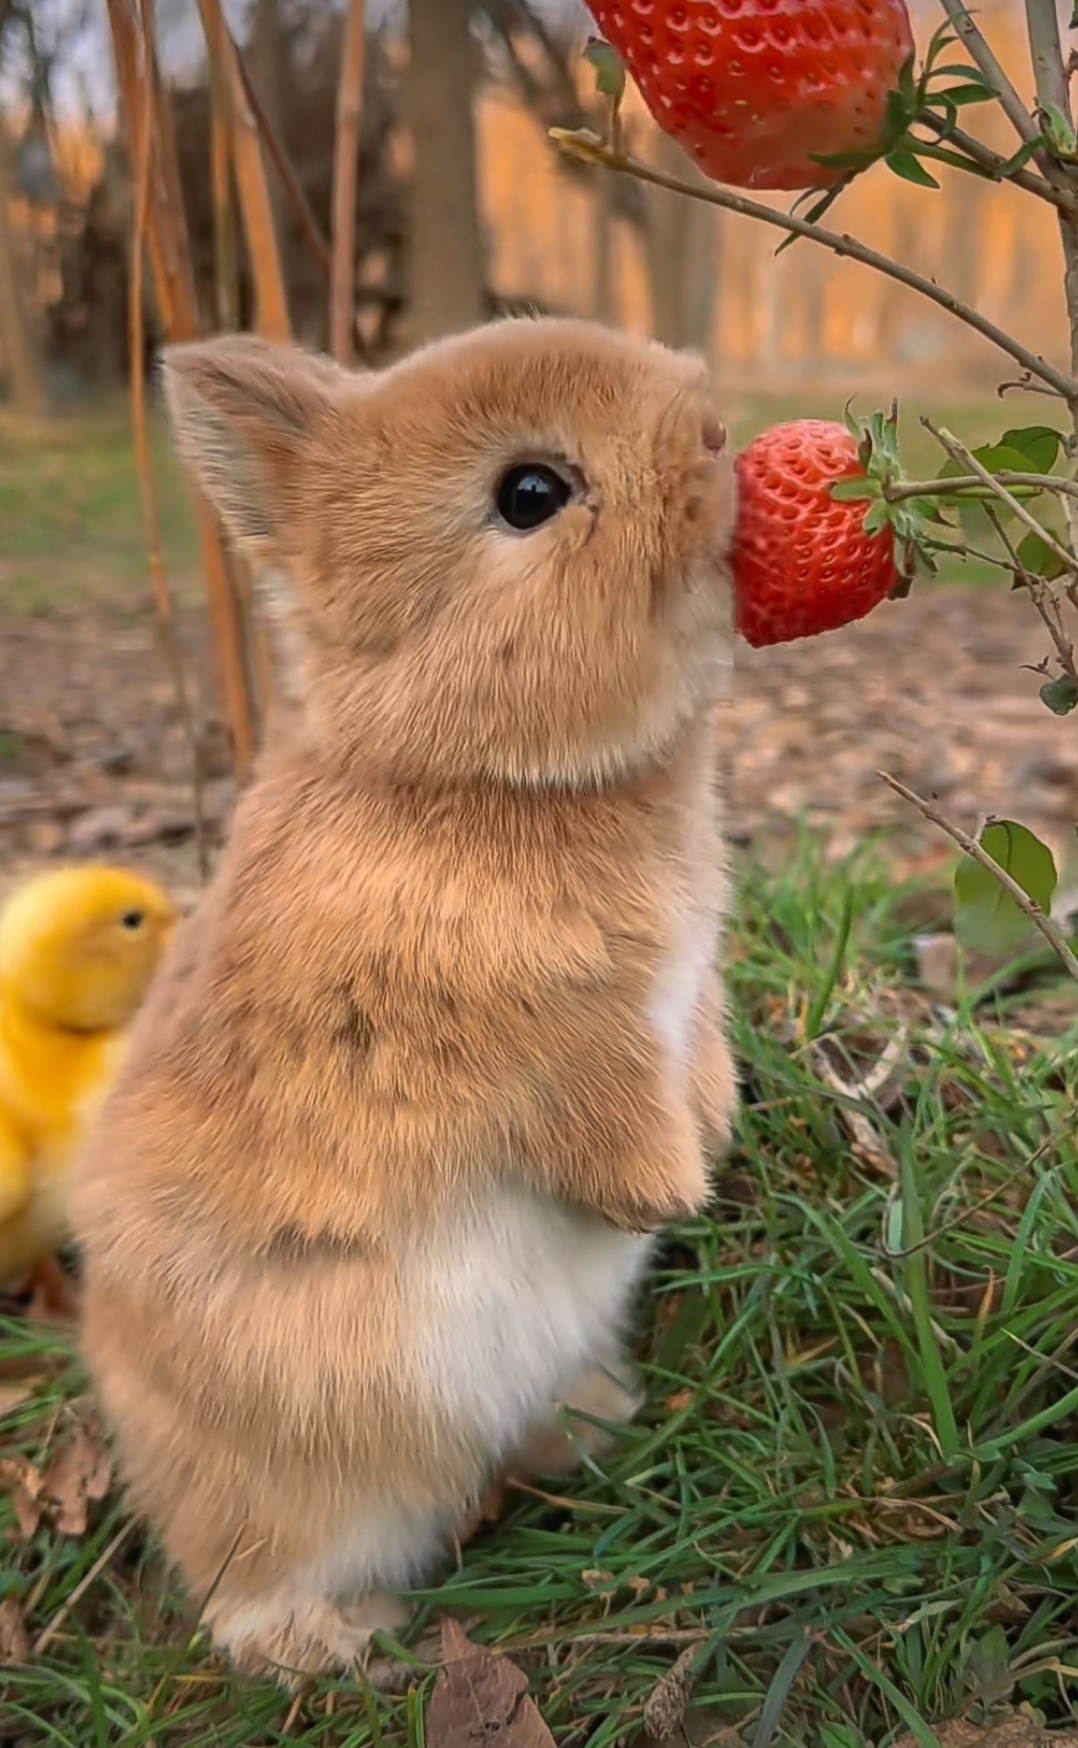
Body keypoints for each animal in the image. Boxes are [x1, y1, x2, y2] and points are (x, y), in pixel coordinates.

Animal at [69, 321, 740, 1685]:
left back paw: (594, 1423)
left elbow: (701, 1063)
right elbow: (598, 1116)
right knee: (250, 1580)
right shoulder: (552, 1042)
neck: (473, 772)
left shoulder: (687, 994)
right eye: (529, 493)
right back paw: (336, 1643)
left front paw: (713, 1143)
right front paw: (663, 1192)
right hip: (301, 1465)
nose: (715, 440)